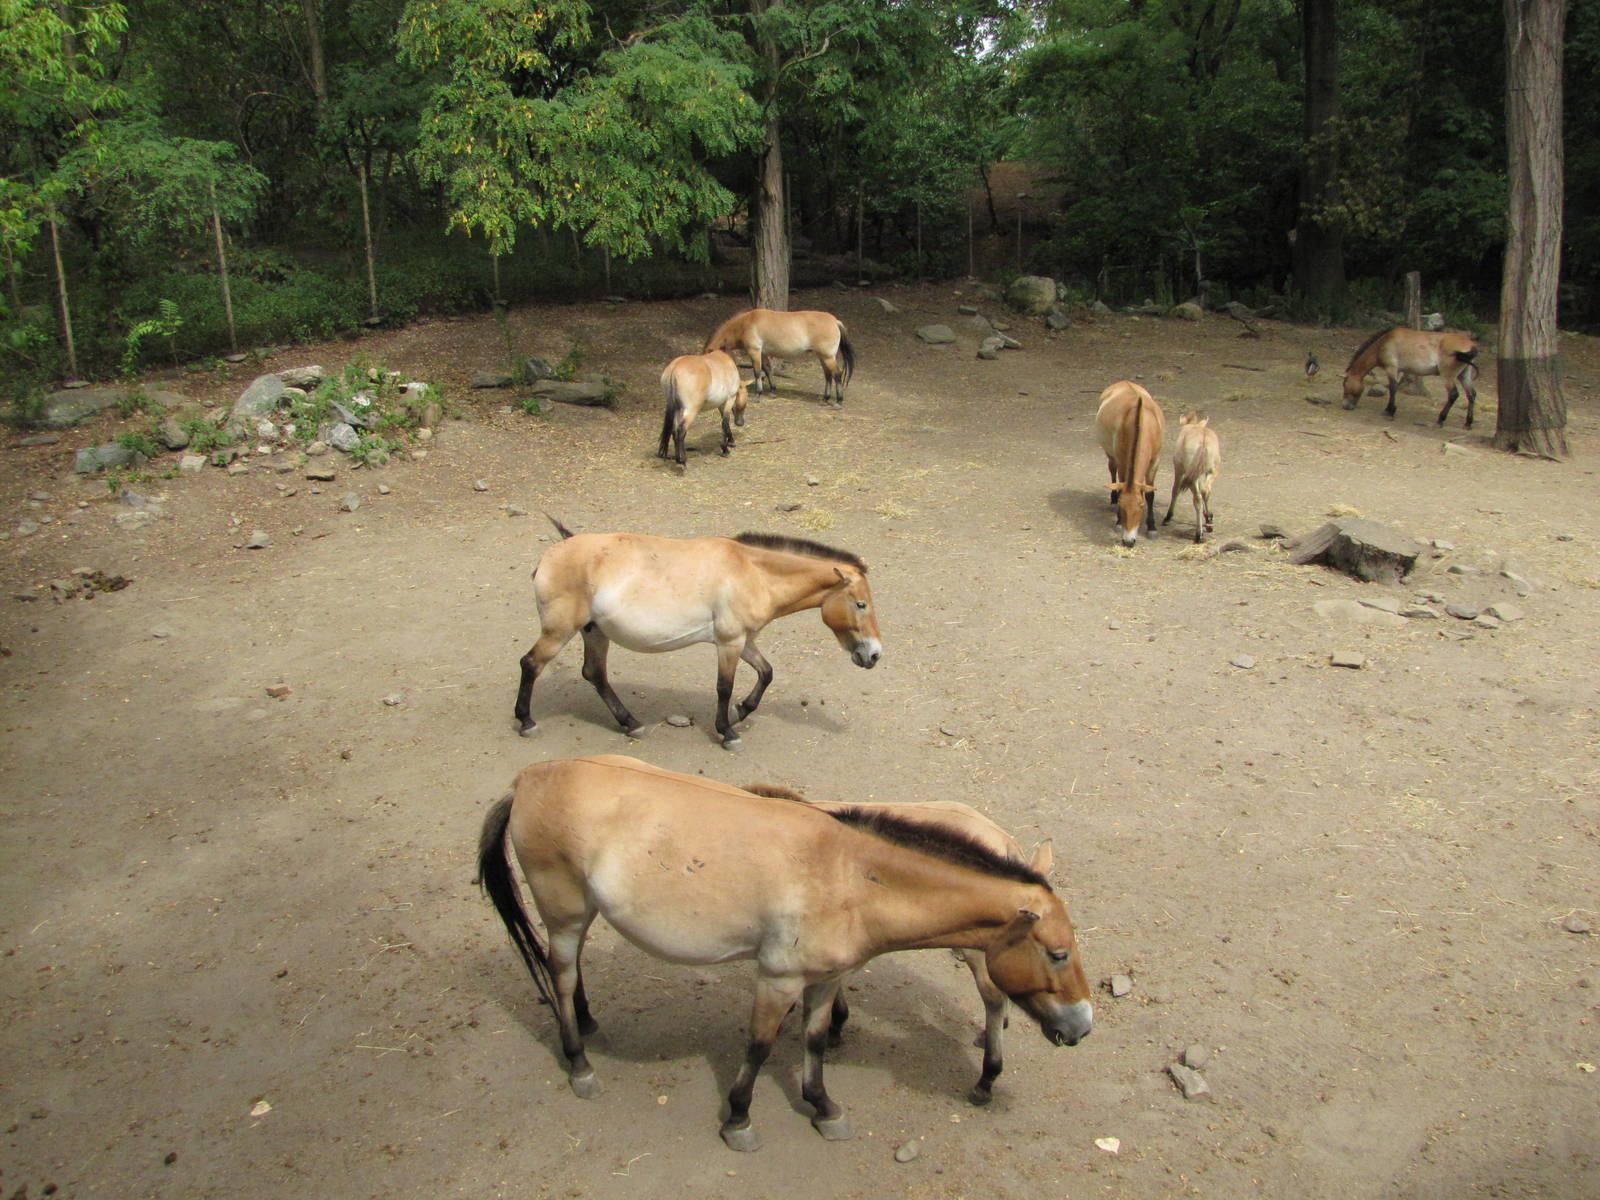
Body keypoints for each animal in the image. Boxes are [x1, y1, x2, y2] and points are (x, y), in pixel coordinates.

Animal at [514, 518, 881, 749]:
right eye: (861, 604)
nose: (874, 654)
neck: (751, 572)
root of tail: (549, 557)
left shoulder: (744, 641)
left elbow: (766, 673)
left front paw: (741, 711)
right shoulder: (729, 643)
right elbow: (724, 687)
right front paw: (728, 732)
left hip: (593, 632)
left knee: (595, 674)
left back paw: (631, 723)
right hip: (559, 631)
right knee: (531, 664)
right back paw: (527, 722)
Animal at [703, 308, 855, 407]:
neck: (745, 323)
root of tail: (835, 321)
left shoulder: (755, 352)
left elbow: (757, 372)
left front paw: (758, 395)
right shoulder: (763, 353)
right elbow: (768, 370)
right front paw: (772, 391)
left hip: (828, 357)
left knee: (837, 374)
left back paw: (838, 401)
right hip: (823, 357)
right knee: (828, 376)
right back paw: (825, 399)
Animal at [1094, 380, 1167, 546]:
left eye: (1140, 505)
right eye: (1122, 505)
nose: (1128, 541)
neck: (1140, 422)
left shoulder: (1155, 461)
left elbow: (1150, 494)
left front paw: (1152, 528)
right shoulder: (1122, 460)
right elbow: (1121, 486)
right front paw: (1119, 522)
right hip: (1111, 454)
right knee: (1112, 470)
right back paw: (1112, 498)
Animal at [1162, 412, 1222, 544]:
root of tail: (1203, 440)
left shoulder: (1179, 470)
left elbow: (1175, 490)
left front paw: (1168, 517)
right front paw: (1209, 518)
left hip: (1192, 477)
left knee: (1197, 499)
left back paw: (1199, 534)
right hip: (1210, 472)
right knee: (1206, 491)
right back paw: (1208, 522)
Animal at [1341, 327, 1481, 427]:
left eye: (1344, 384)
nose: (1345, 406)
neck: (1384, 343)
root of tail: (1471, 346)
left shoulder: (1391, 368)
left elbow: (1393, 388)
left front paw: (1389, 411)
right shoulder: (1397, 370)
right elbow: (1394, 388)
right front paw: (1390, 409)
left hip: (1448, 376)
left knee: (1453, 394)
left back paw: (1440, 420)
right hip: (1464, 375)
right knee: (1471, 395)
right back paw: (1468, 423)